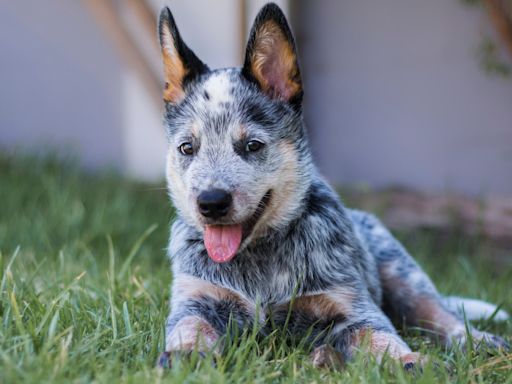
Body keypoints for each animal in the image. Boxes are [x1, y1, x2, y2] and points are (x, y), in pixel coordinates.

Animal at [158, 2, 510, 368]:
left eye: (252, 145)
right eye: (187, 148)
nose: (211, 202)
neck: (260, 259)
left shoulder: (348, 305)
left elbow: (381, 336)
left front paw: (408, 361)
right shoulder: (198, 298)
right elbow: (190, 325)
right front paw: (184, 356)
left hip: (402, 271)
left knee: (437, 314)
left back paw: (479, 341)